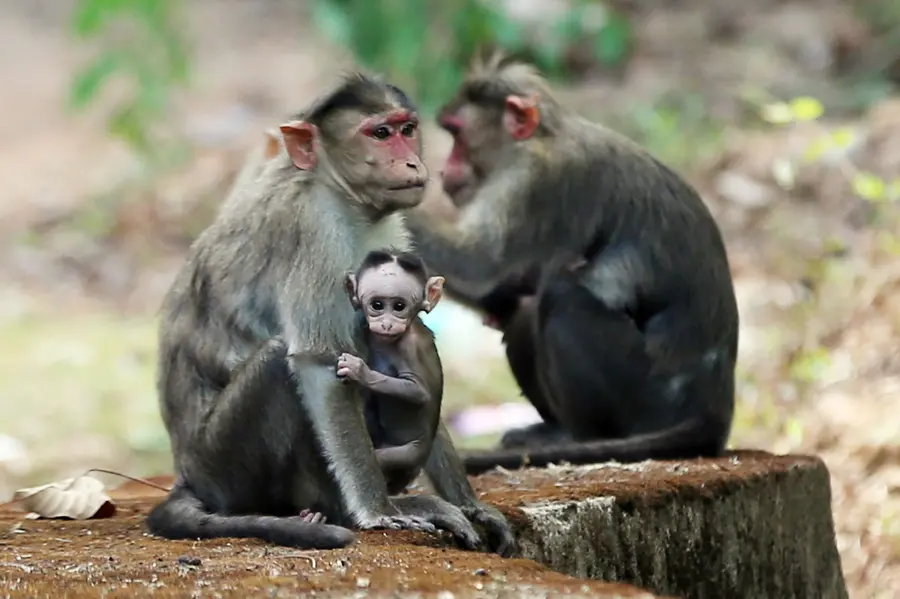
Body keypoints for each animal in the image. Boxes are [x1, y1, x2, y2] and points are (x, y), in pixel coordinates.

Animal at [336, 249, 445, 493]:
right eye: (377, 305)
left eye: (399, 306)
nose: (387, 324)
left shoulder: (408, 348)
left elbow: (417, 391)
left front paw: (359, 370)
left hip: (408, 453)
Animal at [406, 54, 740, 474]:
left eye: (458, 135)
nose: (445, 170)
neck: (541, 139)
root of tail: (712, 404)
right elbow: (502, 289)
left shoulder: (530, 183)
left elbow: (480, 266)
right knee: (525, 313)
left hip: (647, 394)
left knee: (561, 297)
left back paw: (581, 437)